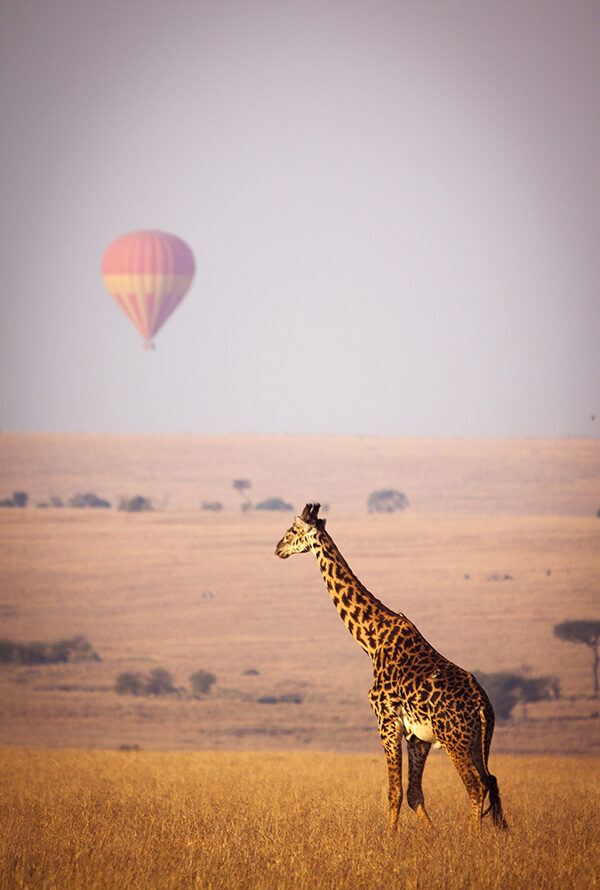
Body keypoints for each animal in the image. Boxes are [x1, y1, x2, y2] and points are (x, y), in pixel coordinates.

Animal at [275, 503, 507, 831]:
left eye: (293, 530)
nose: (278, 548)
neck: (371, 639)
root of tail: (482, 705)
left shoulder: (386, 720)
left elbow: (393, 792)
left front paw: (389, 838)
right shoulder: (417, 736)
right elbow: (413, 793)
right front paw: (431, 835)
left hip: (454, 739)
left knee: (476, 785)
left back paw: (473, 836)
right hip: (477, 740)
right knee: (492, 780)